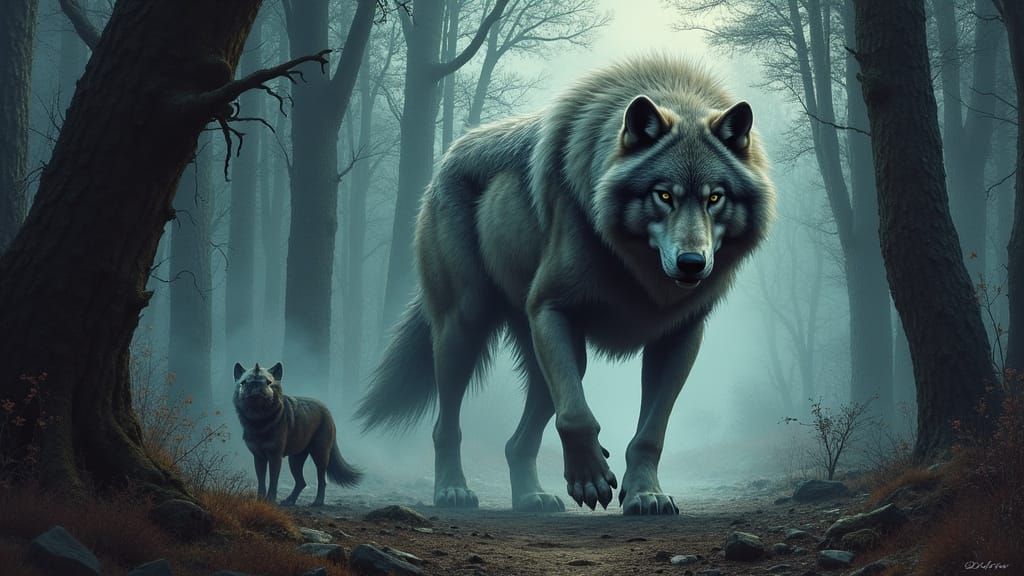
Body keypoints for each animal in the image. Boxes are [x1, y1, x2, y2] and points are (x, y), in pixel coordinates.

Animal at [233, 362, 362, 506]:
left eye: (268, 382)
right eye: (244, 382)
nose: (255, 386)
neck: (259, 422)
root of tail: (326, 409)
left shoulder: (275, 457)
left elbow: (273, 481)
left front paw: (270, 501)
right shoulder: (258, 457)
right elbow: (261, 482)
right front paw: (259, 501)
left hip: (319, 456)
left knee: (322, 481)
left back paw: (317, 502)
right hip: (294, 460)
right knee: (302, 482)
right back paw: (289, 501)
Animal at [358, 55, 774, 515]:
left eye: (714, 198)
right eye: (664, 195)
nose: (692, 263)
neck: (636, 271)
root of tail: (449, 156)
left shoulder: (680, 336)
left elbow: (651, 432)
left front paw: (645, 494)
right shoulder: (551, 307)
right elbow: (576, 414)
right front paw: (590, 477)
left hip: (553, 355)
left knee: (516, 443)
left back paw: (532, 498)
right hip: (466, 330)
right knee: (446, 424)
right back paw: (452, 491)